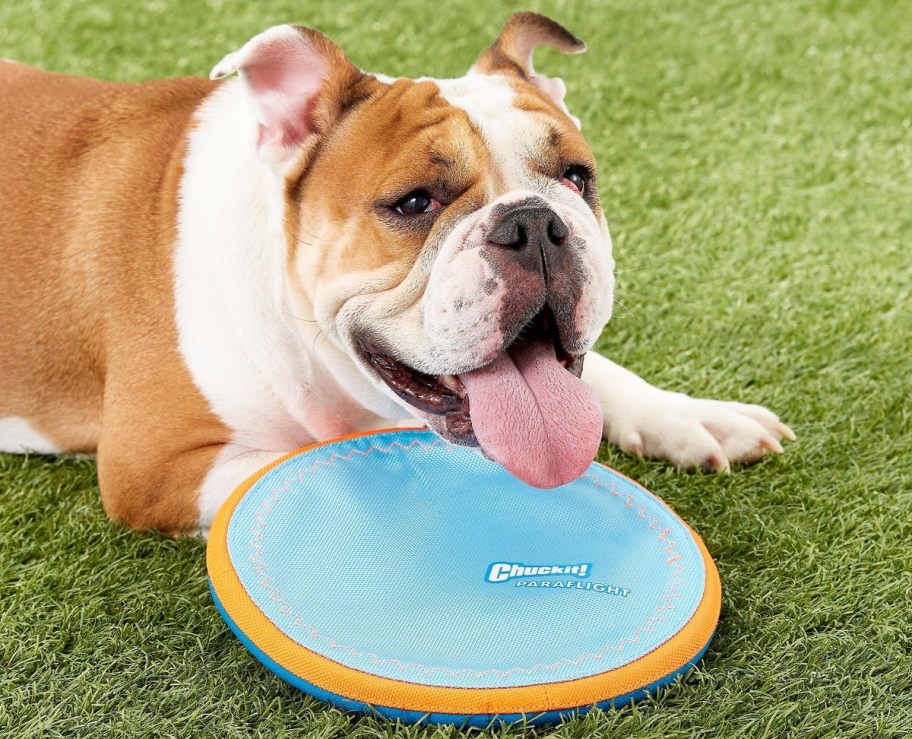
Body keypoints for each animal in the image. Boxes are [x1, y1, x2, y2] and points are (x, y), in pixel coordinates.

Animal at [0, 14, 792, 536]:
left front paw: (689, 415)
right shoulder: (156, 465)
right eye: (414, 203)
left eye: (576, 177)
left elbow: (598, 375)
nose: (534, 223)